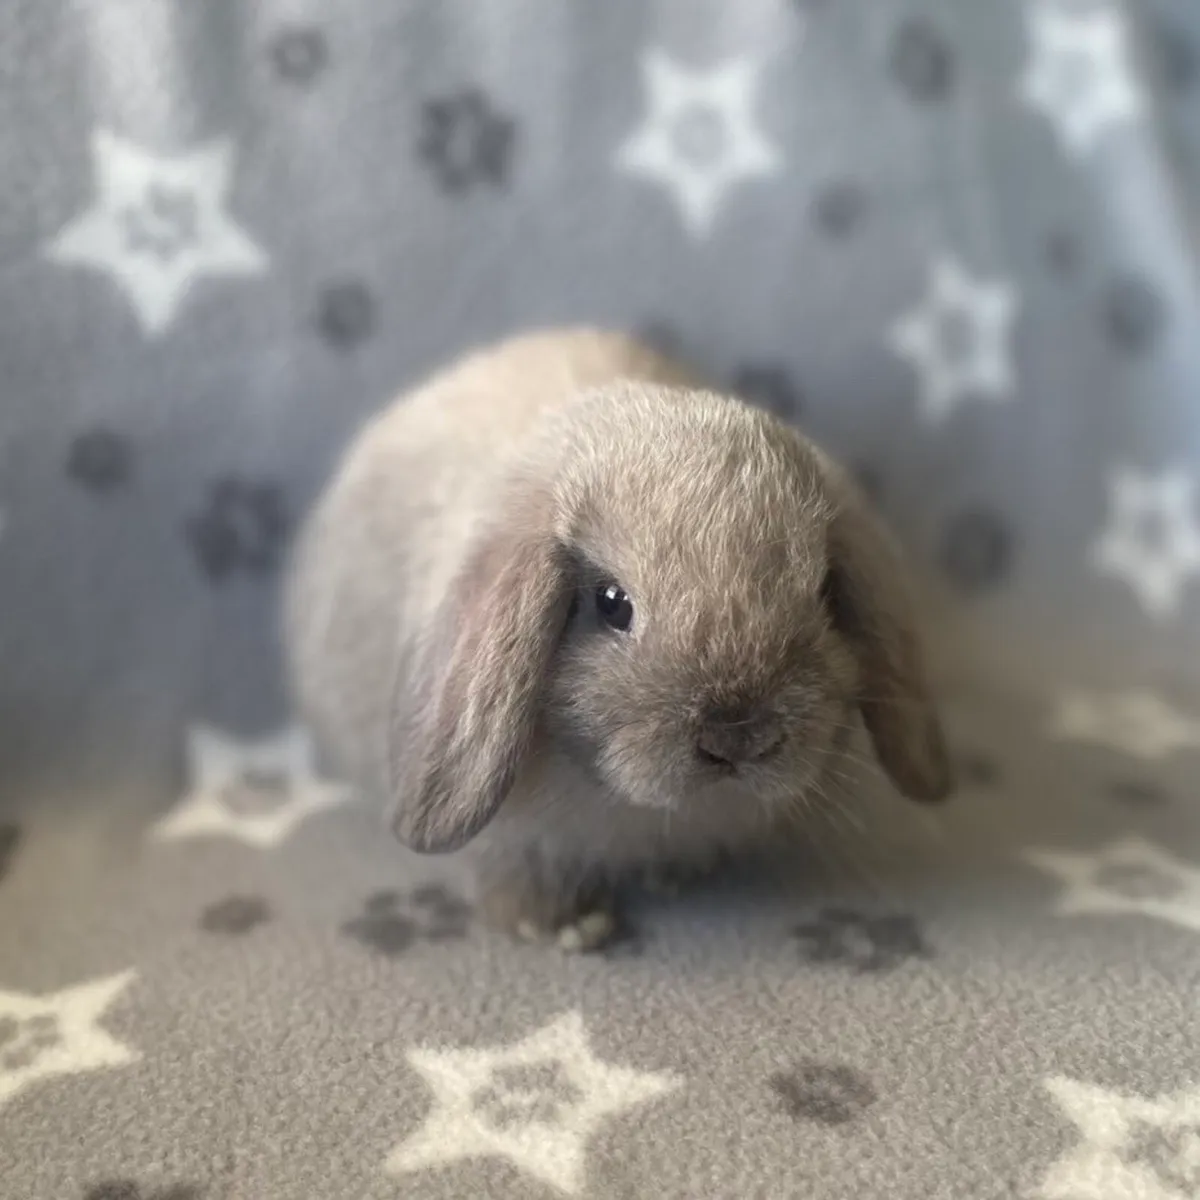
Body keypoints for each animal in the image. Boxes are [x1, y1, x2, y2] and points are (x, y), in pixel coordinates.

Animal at [284, 327, 953, 952]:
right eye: (612, 603)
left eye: (821, 591)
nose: (738, 736)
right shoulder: (511, 848)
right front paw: (567, 930)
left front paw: (674, 878)